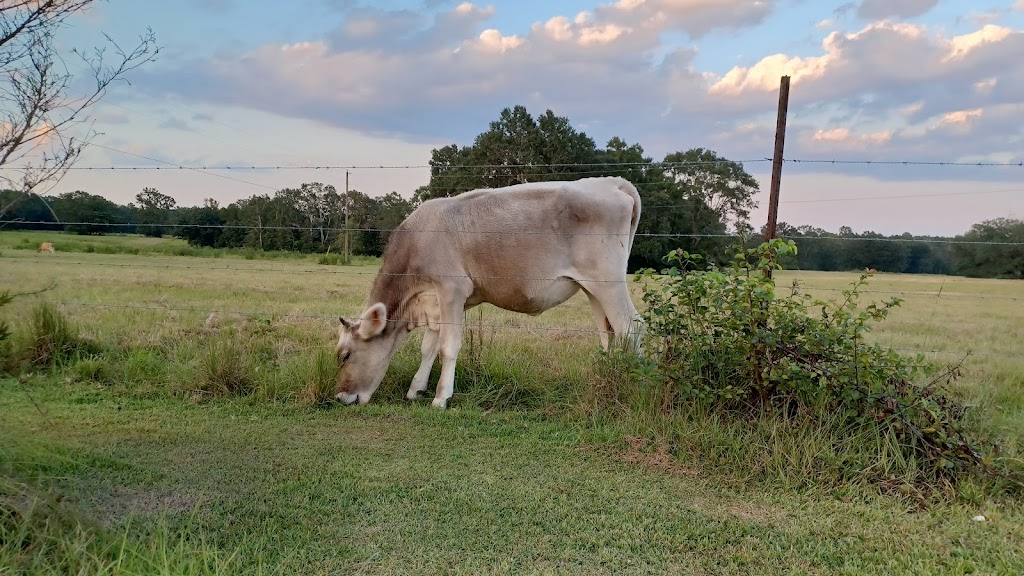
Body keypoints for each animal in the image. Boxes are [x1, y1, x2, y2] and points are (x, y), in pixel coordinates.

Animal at [333, 177, 638, 405]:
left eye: (345, 355)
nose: (339, 397)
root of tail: (611, 182)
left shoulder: (452, 289)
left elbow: (448, 346)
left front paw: (441, 398)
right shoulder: (434, 301)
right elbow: (428, 347)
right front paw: (416, 389)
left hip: (608, 282)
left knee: (631, 327)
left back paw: (637, 384)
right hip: (592, 287)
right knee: (608, 333)